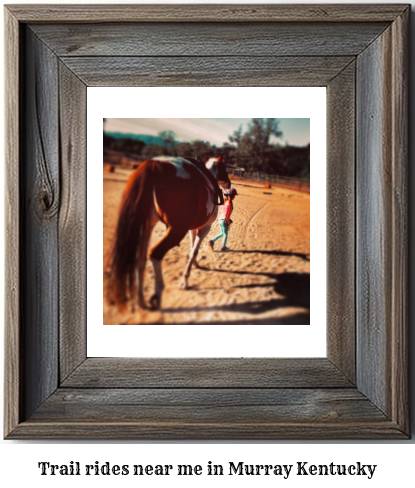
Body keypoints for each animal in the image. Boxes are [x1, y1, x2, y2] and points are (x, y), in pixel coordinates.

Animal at [109, 154, 231, 310]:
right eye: (225, 168)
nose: (228, 183)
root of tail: (154, 165)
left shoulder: (193, 228)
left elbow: (192, 247)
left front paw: (195, 265)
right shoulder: (205, 227)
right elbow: (194, 250)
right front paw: (185, 281)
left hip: (147, 225)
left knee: (139, 257)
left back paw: (140, 299)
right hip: (177, 230)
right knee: (155, 254)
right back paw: (156, 294)